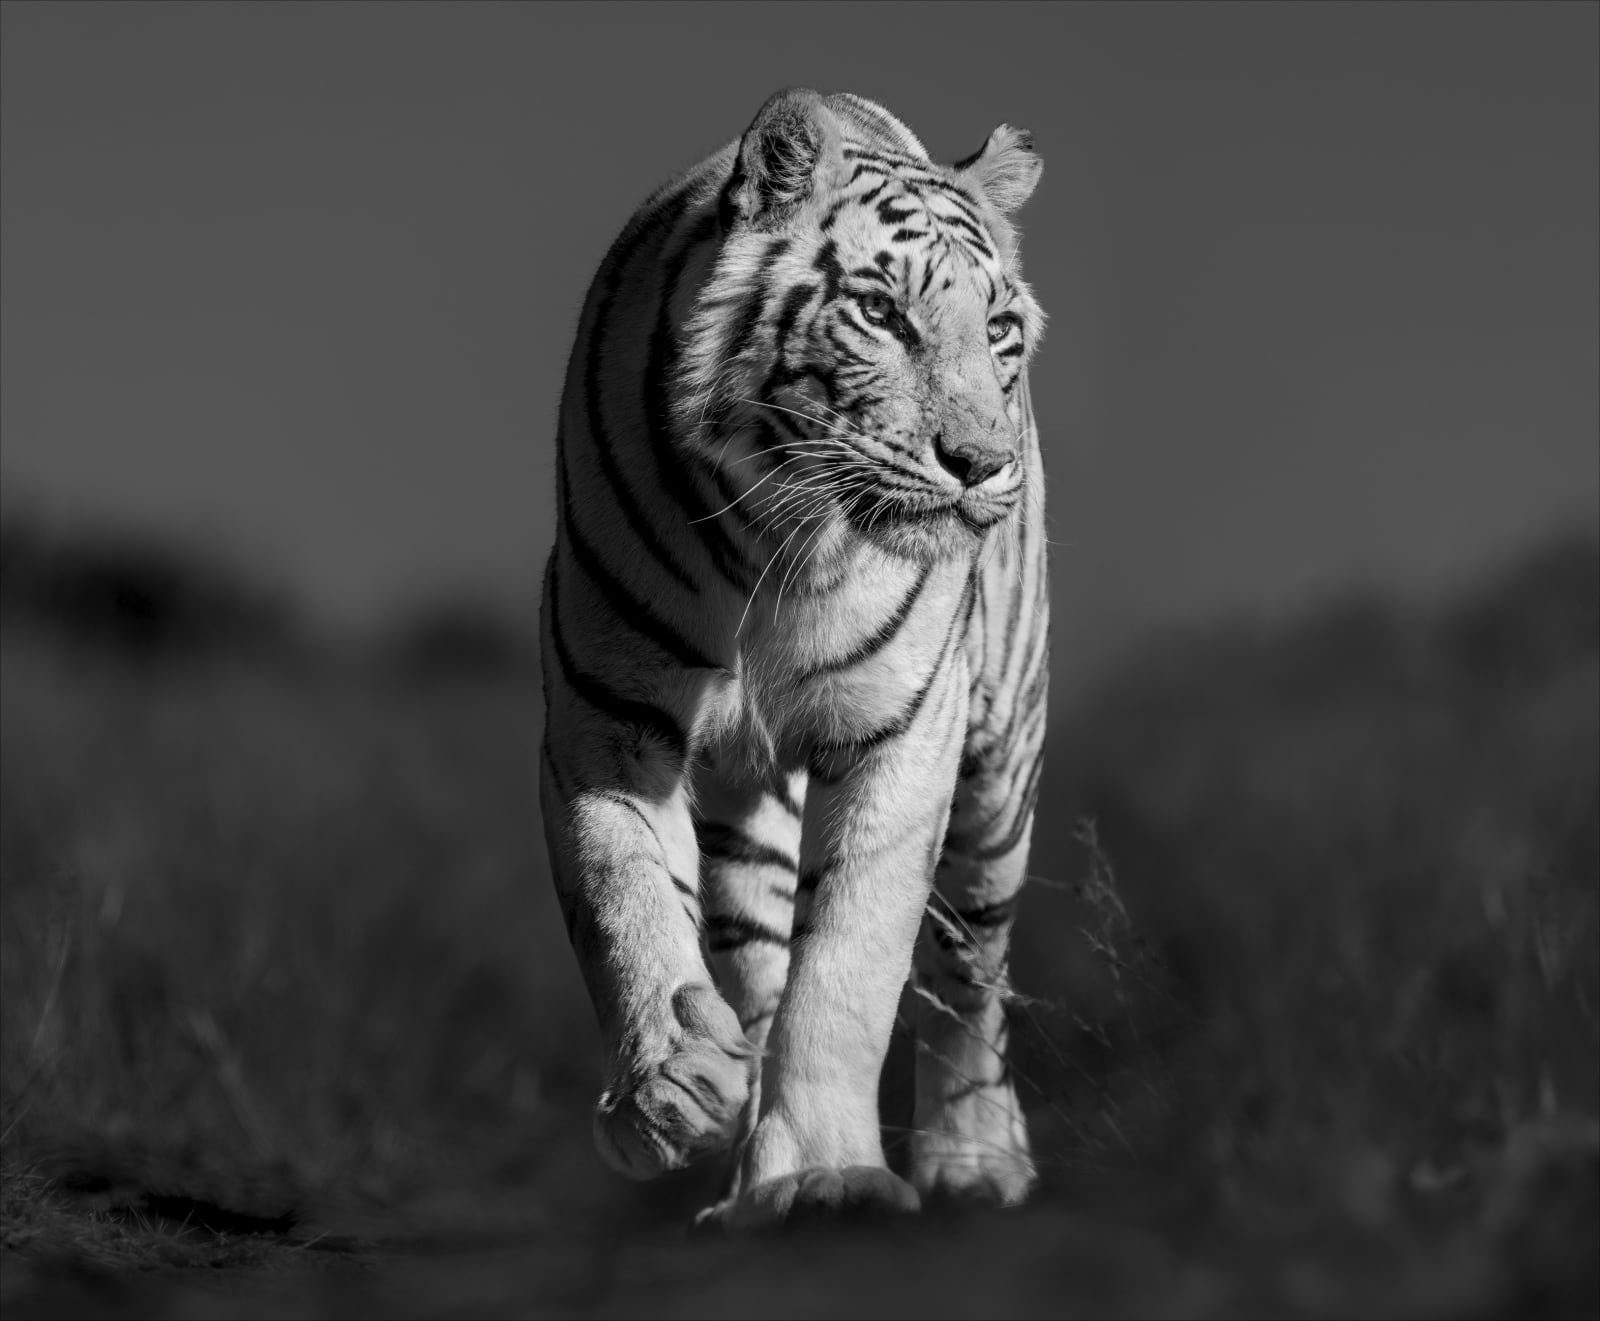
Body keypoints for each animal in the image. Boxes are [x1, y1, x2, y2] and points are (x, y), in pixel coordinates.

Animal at [539, 88, 1048, 1228]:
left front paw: (828, 1173)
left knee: (975, 968)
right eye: (882, 314)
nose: (982, 463)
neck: (775, 539)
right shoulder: (607, 718)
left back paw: (974, 1158)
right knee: (757, 949)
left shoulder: (903, 735)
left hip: (998, 775)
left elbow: (849, 965)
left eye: (998, 330)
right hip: (746, 804)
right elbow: (623, 904)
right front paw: (671, 1086)